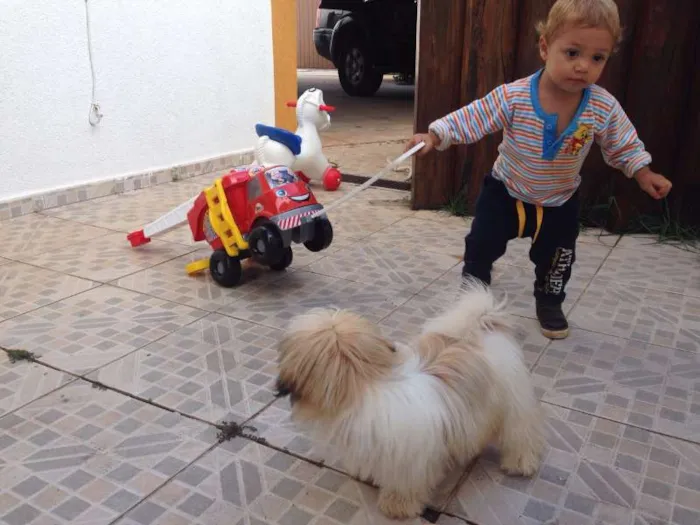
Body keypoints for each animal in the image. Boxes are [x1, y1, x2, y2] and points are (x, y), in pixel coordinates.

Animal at [276, 280, 544, 516]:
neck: (367, 383)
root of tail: (482, 328)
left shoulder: (410, 460)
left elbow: (406, 484)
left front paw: (397, 506)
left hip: (512, 403)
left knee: (519, 433)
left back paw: (519, 463)